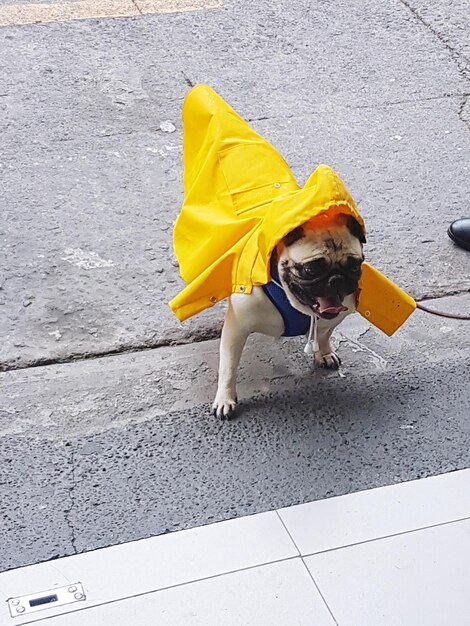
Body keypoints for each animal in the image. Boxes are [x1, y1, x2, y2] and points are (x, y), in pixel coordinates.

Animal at [214, 211, 368, 420]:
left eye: (354, 267)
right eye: (310, 270)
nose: (337, 279)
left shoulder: (333, 318)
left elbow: (323, 335)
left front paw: (324, 353)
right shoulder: (237, 327)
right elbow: (228, 367)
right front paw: (225, 399)